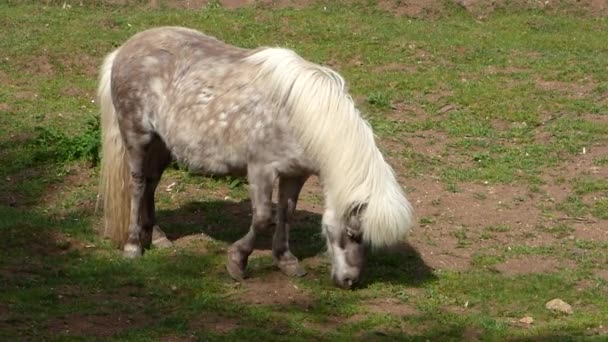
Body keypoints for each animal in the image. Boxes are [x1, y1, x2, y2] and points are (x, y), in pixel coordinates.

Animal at [97, 27, 416, 288]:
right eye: (352, 233)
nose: (350, 282)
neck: (300, 116)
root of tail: (122, 50)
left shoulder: (295, 173)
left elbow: (285, 213)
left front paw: (286, 260)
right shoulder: (261, 170)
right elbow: (263, 217)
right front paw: (237, 262)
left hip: (162, 145)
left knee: (151, 184)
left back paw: (158, 237)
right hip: (138, 137)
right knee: (138, 185)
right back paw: (134, 245)